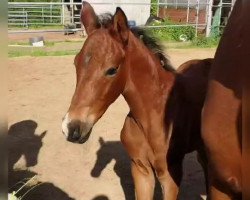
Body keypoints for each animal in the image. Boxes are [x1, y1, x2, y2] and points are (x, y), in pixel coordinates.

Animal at [61, 1, 211, 198]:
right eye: (75, 63)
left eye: (112, 70)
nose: (71, 128)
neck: (151, 115)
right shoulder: (141, 169)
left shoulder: (170, 174)